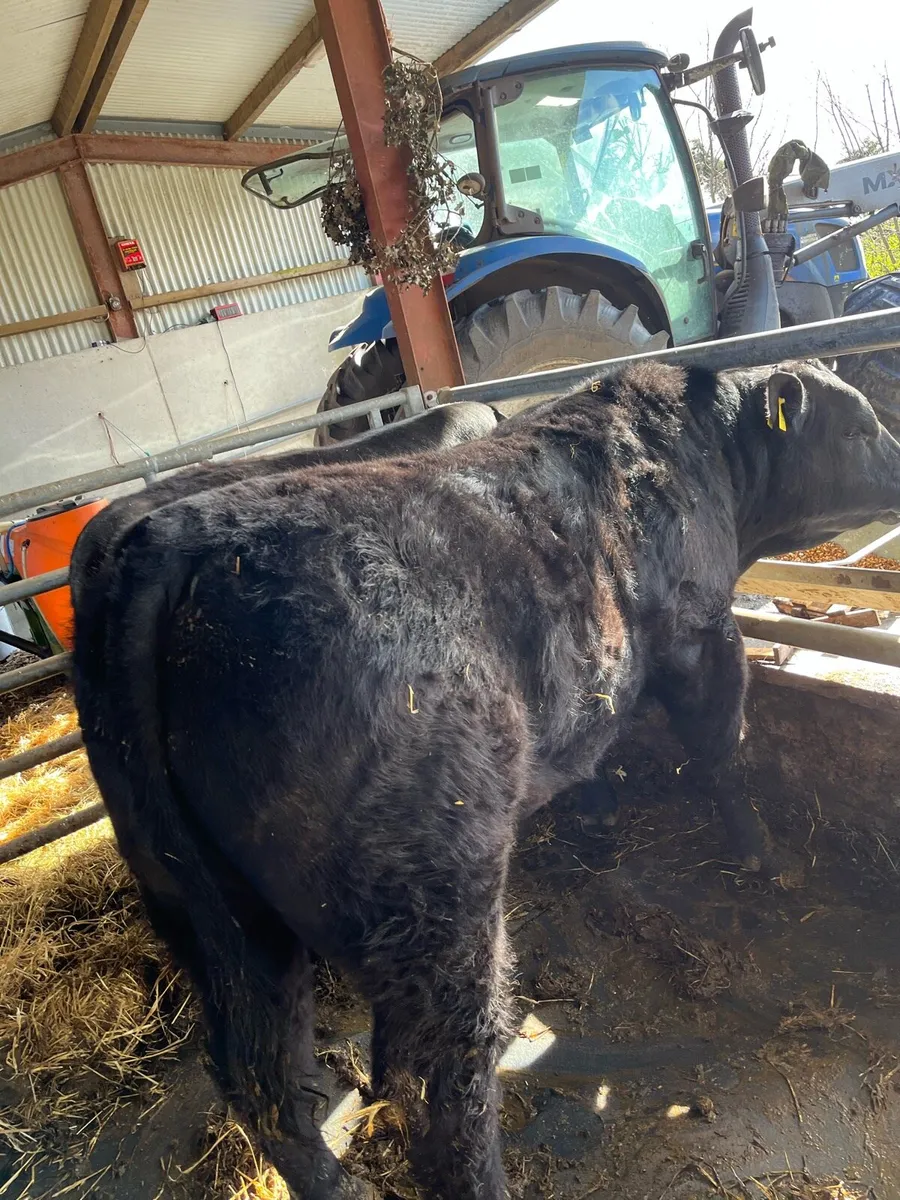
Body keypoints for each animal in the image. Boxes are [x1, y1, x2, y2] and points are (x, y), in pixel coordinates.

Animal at [71, 360, 900, 1200]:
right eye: (859, 427)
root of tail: (168, 549)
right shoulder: (701, 632)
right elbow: (720, 748)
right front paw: (760, 853)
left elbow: (597, 741)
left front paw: (600, 819)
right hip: (437, 896)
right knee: (449, 1076)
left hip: (210, 910)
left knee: (263, 1079)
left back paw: (341, 1177)